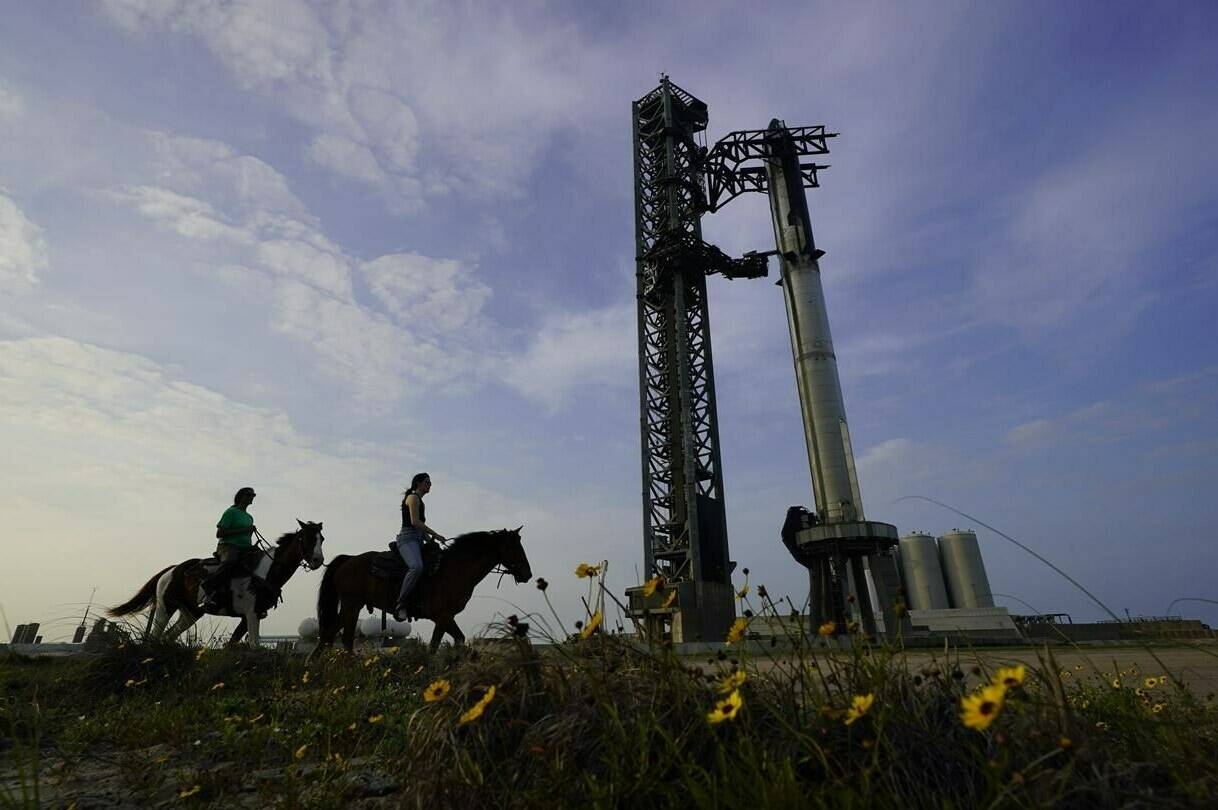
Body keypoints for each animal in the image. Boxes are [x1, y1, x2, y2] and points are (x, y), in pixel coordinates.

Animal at [109, 521, 326, 648]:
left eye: (321, 538)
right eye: (306, 538)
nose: (317, 560)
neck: (266, 571)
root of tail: (171, 570)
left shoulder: (250, 616)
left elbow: (235, 644)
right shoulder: (251, 613)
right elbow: (253, 645)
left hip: (191, 612)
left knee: (168, 635)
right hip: (166, 607)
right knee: (156, 635)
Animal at [314, 523, 528, 652]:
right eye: (514, 547)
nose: (528, 573)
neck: (455, 569)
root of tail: (348, 559)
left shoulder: (443, 618)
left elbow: (434, 645)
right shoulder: (442, 615)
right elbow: (459, 639)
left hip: (349, 606)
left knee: (328, 633)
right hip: (352, 604)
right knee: (346, 637)